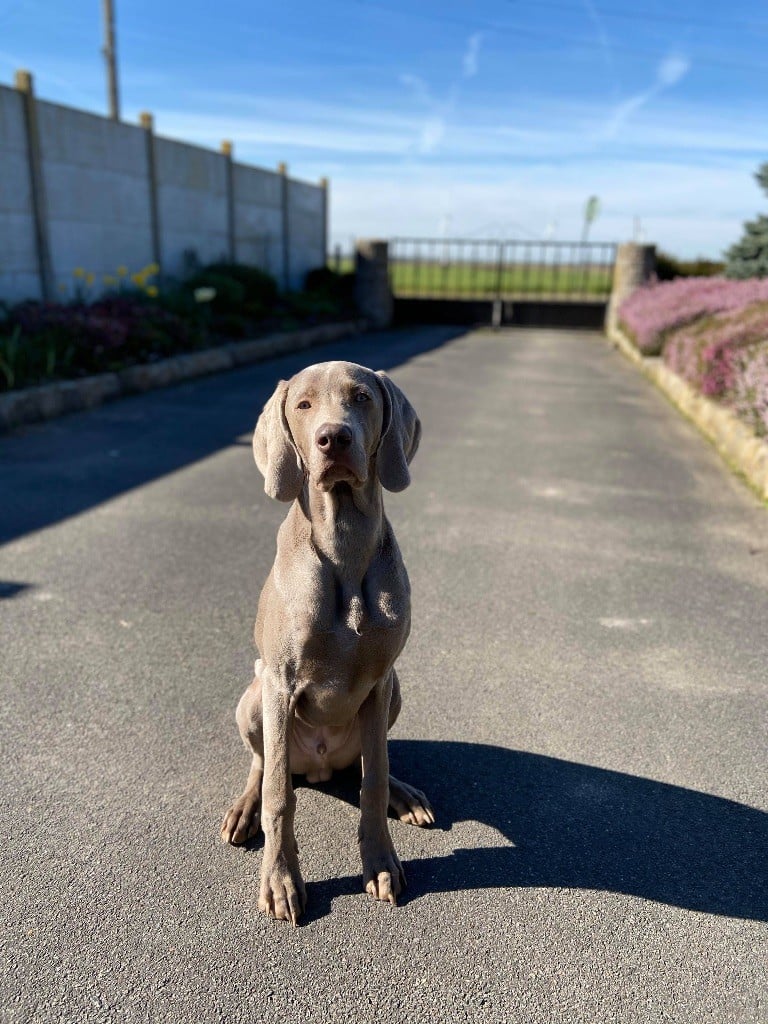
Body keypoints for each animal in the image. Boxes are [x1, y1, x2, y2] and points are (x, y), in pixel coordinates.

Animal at [222, 364, 436, 925]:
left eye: (361, 398)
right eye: (302, 404)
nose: (332, 438)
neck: (344, 546)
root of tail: (318, 766)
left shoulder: (380, 680)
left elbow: (374, 777)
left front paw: (380, 863)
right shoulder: (280, 681)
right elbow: (279, 794)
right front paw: (280, 880)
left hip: (395, 692)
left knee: (368, 761)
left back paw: (406, 795)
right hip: (253, 697)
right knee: (263, 766)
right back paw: (245, 808)